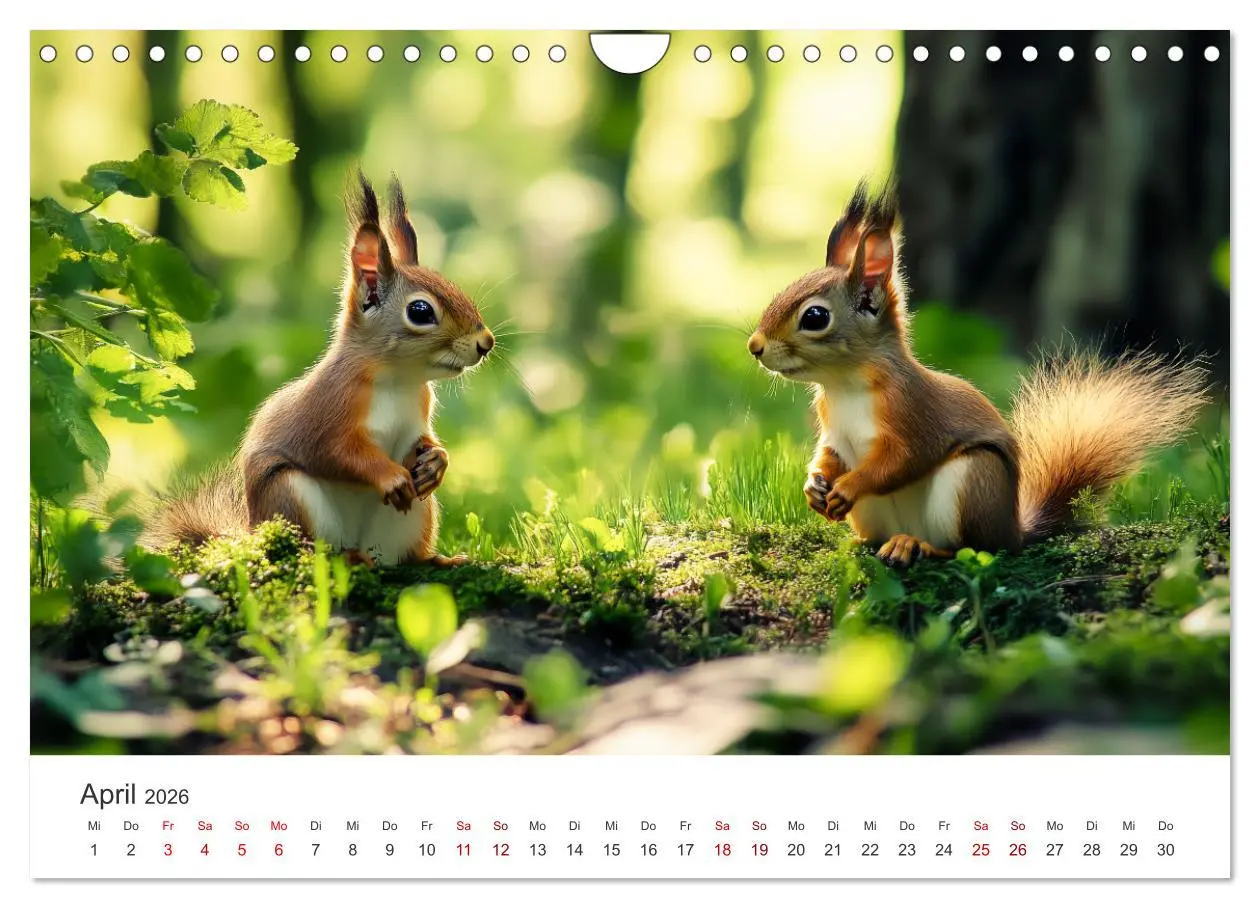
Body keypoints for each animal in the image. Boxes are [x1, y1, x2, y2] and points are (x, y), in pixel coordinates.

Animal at [145, 171, 494, 566]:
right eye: (420, 311)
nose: (486, 342)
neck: (400, 379)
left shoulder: (417, 417)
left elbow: (422, 442)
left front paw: (437, 460)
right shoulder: (327, 410)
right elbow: (337, 453)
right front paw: (390, 476)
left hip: (417, 516)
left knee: (404, 554)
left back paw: (434, 558)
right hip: (290, 496)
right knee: (314, 551)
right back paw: (343, 558)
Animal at [747, 181, 1210, 568]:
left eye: (815, 317)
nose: (754, 346)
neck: (843, 385)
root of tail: (1014, 531)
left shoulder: (914, 415)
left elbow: (900, 461)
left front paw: (847, 485)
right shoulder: (834, 428)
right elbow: (830, 452)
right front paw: (815, 484)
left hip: (972, 481)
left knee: (969, 548)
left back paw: (916, 546)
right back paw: (865, 541)